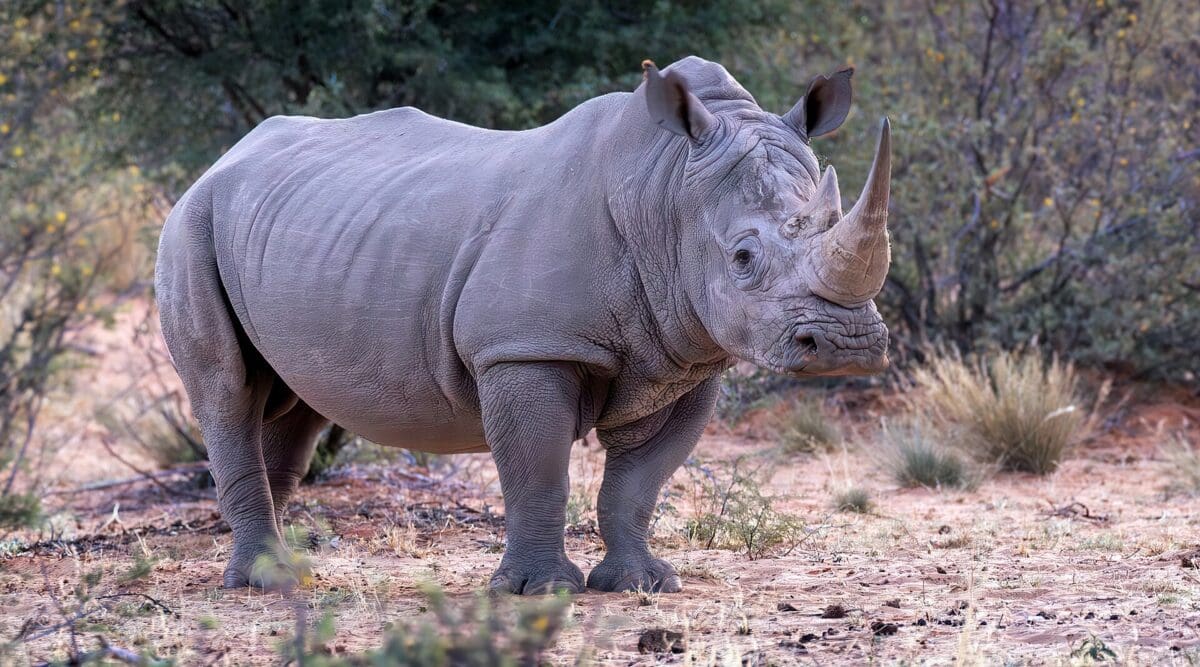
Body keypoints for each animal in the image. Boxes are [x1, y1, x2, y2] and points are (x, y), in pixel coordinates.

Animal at [155, 56, 892, 594]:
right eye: (743, 258)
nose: (847, 345)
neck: (664, 191)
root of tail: (222, 159)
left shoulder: (688, 357)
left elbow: (638, 483)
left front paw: (642, 585)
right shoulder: (525, 348)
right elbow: (539, 470)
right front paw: (541, 590)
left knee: (294, 403)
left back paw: (282, 574)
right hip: (190, 221)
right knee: (226, 390)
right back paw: (259, 583)